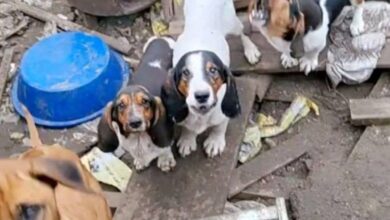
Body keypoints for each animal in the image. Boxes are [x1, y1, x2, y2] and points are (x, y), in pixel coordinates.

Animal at [97, 36, 177, 172]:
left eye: (145, 101)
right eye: (121, 105)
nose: (135, 123)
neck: (139, 138)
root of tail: (161, 38)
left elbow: (165, 149)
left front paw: (165, 161)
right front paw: (140, 162)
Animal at [161, 0, 256, 158]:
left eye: (213, 70)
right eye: (185, 72)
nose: (201, 96)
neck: (202, 115)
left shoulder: (222, 115)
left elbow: (219, 127)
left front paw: (215, 141)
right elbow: (187, 128)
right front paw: (187, 139)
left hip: (233, 24)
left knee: (243, 32)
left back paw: (251, 50)